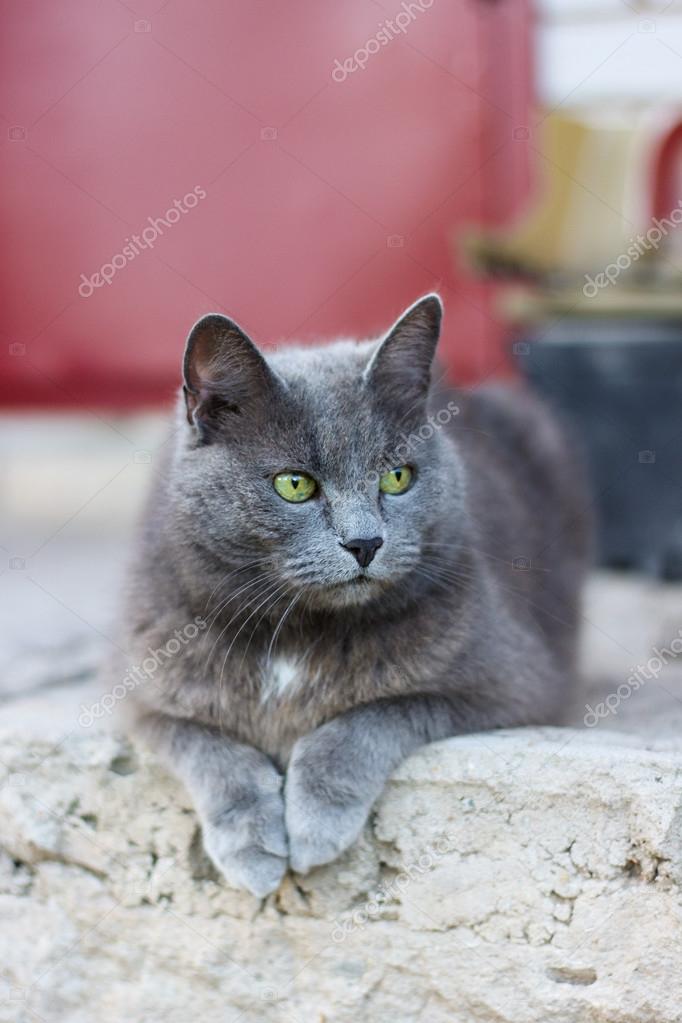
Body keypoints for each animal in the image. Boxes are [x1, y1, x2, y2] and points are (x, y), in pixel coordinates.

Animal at [117, 294, 593, 896]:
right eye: (294, 484)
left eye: (397, 477)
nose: (365, 542)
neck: (296, 632)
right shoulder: (144, 691)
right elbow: (208, 747)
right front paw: (252, 850)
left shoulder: (512, 683)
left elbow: (368, 718)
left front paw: (315, 825)